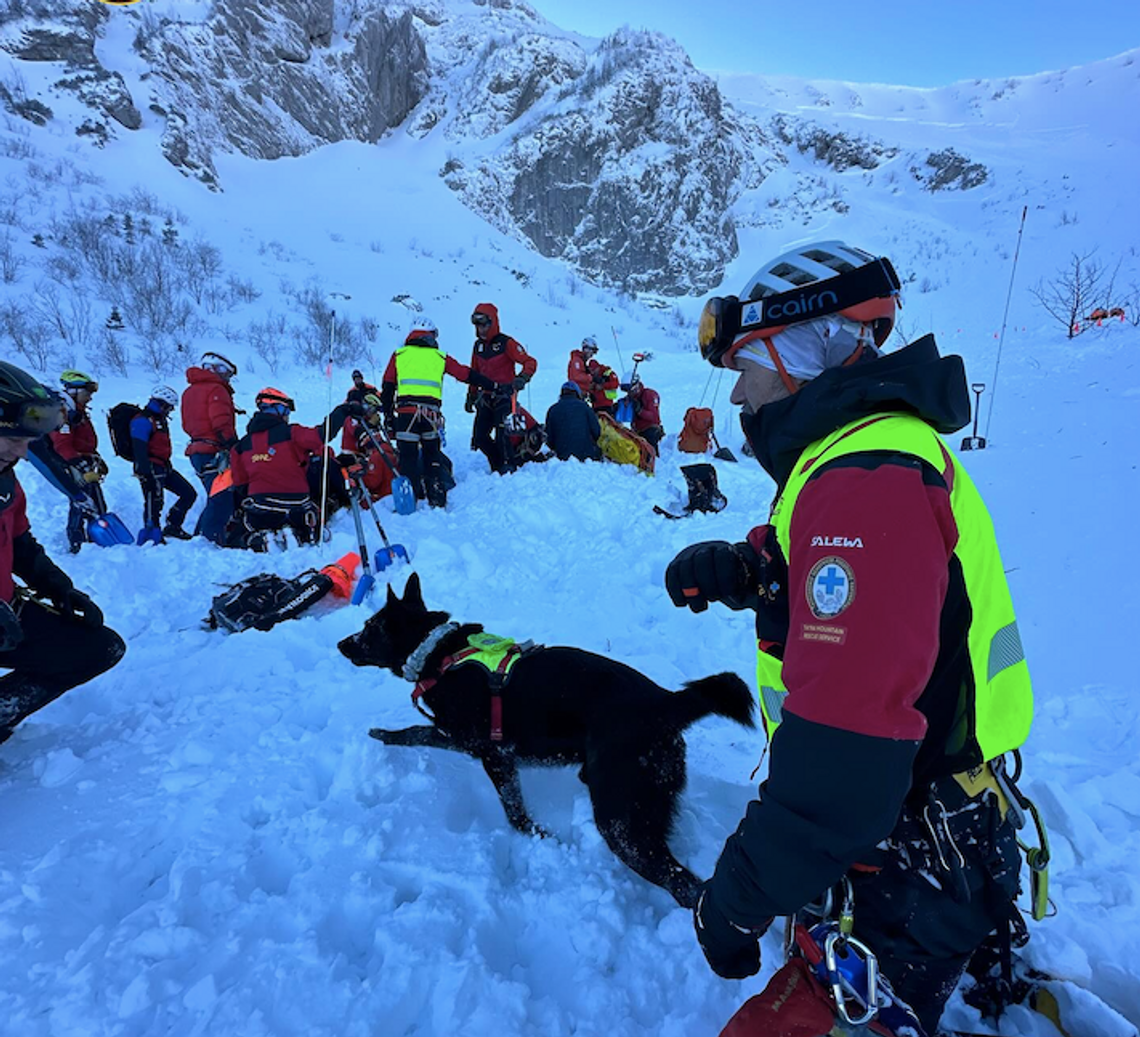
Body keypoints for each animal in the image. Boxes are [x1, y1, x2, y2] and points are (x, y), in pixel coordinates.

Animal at [335, 572, 756, 907]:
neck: (438, 653)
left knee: (683, 883)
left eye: (369, 627)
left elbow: (507, 806)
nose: (341, 643)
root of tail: (666, 702)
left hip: (619, 820)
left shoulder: (488, 752)